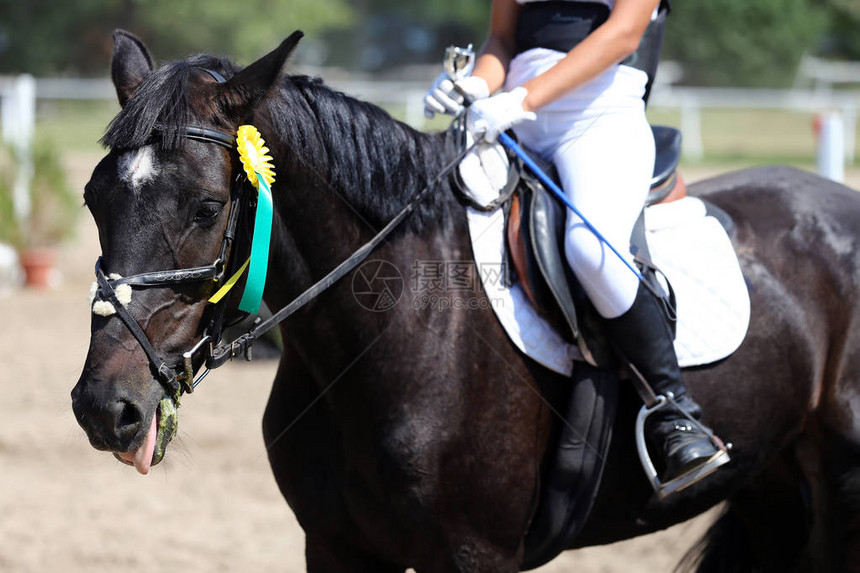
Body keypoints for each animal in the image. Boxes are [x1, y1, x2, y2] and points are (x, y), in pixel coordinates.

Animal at [72, 32, 860, 572]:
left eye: (207, 207)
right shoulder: (335, 546)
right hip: (772, 484)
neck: (391, 331)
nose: (104, 407)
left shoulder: (474, 553)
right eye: (93, 198)